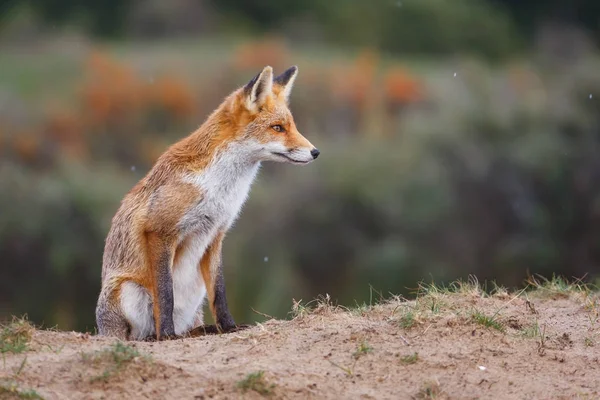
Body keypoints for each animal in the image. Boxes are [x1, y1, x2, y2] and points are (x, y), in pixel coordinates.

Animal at [95, 65, 318, 340]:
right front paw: (166, 333)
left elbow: (219, 292)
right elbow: (165, 294)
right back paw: (154, 336)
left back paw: (200, 330)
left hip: (194, 292)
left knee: (191, 323)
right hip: (127, 290)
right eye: (277, 128)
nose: (315, 152)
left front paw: (229, 327)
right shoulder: (159, 231)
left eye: (292, 126)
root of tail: (103, 329)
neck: (221, 188)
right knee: (134, 334)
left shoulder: (216, 234)